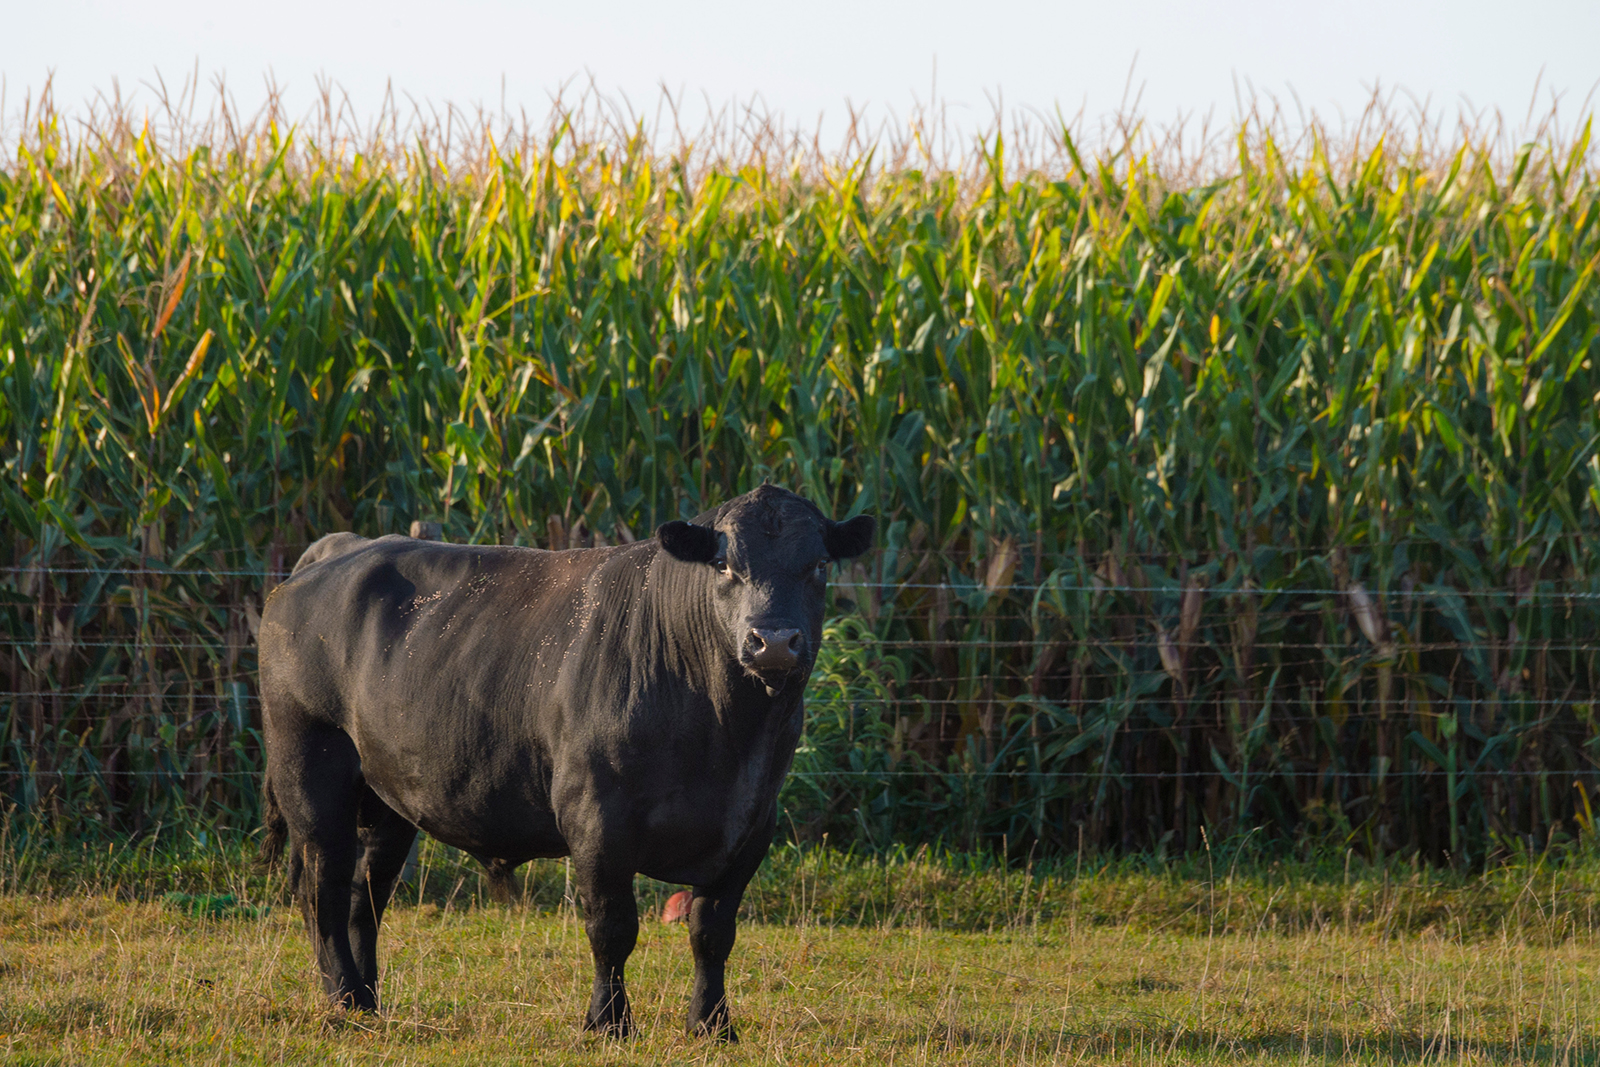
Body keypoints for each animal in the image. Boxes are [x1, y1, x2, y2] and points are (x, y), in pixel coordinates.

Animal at [259, 489, 876, 1036]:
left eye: (820, 564)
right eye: (724, 564)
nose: (773, 641)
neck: (724, 738)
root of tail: (345, 546)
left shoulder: (752, 824)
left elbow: (713, 933)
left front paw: (712, 1025)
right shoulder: (596, 817)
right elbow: (612, 928)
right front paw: (608, 1023)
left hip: (391, 796)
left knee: (366, 895)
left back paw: (368, 1001)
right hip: (310, 772)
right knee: (323, 888)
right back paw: (341, 998)